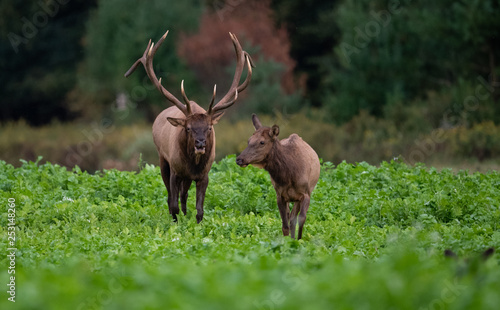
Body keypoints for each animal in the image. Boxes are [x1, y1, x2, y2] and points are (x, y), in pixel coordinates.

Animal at [125, 30, 254, 223]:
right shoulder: (175, 171)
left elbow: (199, 209)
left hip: (185, 178)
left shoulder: (204, 175)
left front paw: (195, 224)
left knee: (184, 195)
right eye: (188, 128)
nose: (200, 144)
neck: (193, 165)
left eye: (209, 127)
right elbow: (173, 204)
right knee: (172, 196)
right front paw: (176, 223)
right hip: (162, 160)